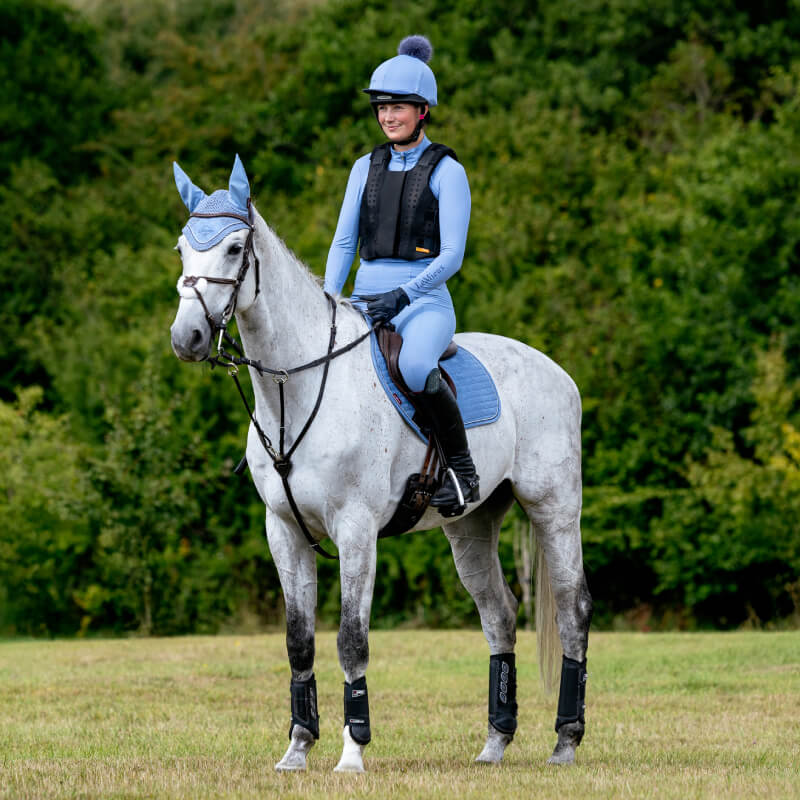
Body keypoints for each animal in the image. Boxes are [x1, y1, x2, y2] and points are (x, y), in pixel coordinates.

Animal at [169, 155, 592, 772]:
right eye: (182, 248)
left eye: (233, 248)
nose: (188, 337)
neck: (295, 388)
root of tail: (554, 369)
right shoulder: (284, 532)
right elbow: (299, 642)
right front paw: (297, 748)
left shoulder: (356, 530)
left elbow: (351, 639)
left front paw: (353, 751)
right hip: (471, 526)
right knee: (500, 615)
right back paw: (494, 744)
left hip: (554, 509)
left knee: (572, 609)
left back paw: (565, 740)